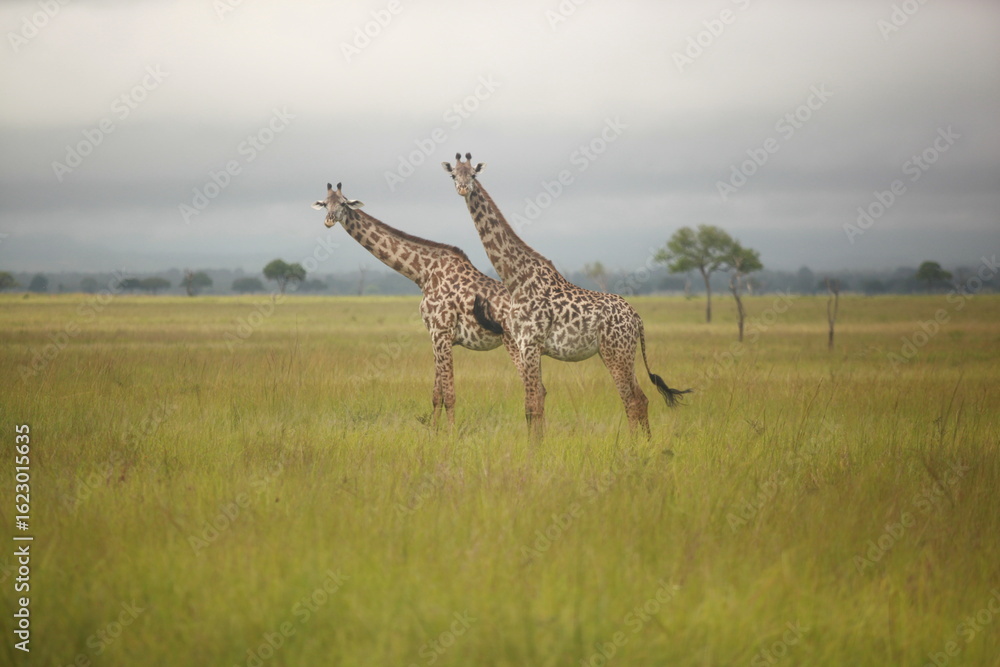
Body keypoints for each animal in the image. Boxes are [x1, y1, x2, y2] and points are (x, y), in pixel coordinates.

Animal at [312, 182, 517, 427]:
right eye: (325, 204)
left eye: (343, 203)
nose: (329, 220)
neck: (423, 273)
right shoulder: (437, 337)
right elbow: (437, 395)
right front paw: (434, 431)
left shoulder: (442, 333)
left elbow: (449, 394)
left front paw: (451, 433)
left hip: (515, 343)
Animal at [441, 154, 690, 440]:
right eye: (453, 175)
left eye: (473, 174)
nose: (462, 188)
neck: (516, 278)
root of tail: (637, 318)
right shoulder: (527, 346)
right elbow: (536, 403)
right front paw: (539, 444)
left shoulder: (529, 344)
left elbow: (531, 407)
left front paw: (533, 449)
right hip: (620, 353)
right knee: (642, 398)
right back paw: (645, 443)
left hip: (617, 352)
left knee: (632, 400)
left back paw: (633, 445)